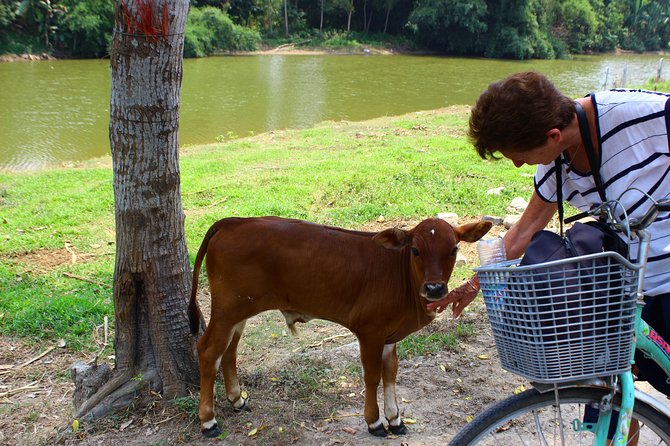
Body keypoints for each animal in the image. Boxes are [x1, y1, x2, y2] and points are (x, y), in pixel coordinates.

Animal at [189, 218, 494, 438]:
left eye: (453, 249)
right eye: (416, 250)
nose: (434, 289)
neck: (400, 274)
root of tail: (233, 222)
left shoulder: (389, 335)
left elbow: (391, 372)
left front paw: (395, 419)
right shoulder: (369, 331)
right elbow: (372, 376)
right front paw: (374, 422)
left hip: (239, 311)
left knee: (229, 351)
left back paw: (236, 399)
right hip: (227, 310)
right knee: (208, 351)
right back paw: (208, 421)